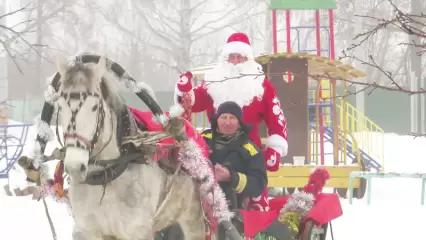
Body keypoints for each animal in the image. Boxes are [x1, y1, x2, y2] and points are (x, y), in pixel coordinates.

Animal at [54, 56, 233, 240]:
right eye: (59, 106)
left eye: (95, 107)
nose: (75, 167)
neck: (108, 176)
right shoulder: (86, 230)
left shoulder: (138, 230)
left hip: (194, 220)